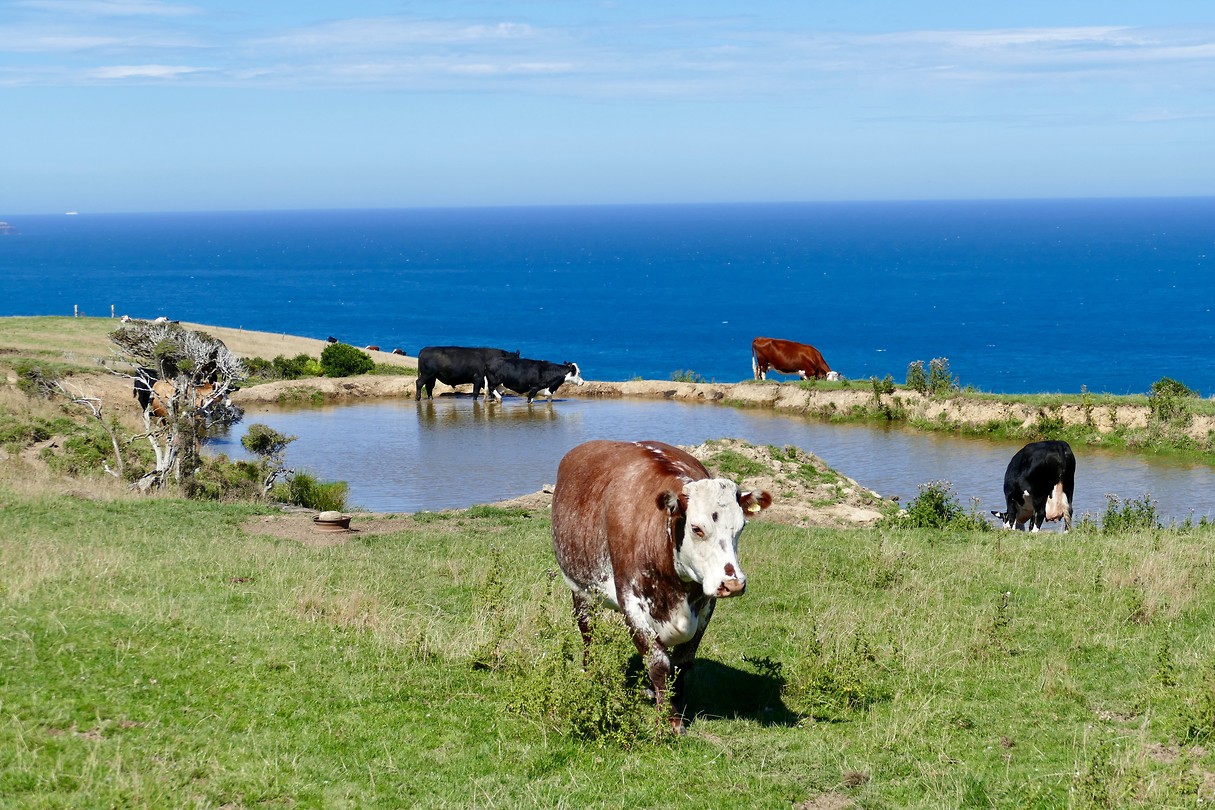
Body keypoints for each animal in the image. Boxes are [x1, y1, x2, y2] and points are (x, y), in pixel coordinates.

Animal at [551, 439, 772, 732]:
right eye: (697, 528)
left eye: (741, 527)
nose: (733, 583)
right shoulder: (631, 603)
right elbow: (658, 663)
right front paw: (669, 719)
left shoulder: (705, 606)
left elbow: (682, 663)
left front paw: (676, 705)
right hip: (579, 588)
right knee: (588, 632)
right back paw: (590, 671)